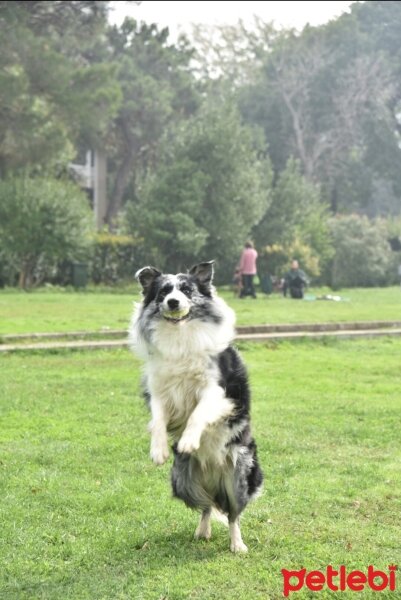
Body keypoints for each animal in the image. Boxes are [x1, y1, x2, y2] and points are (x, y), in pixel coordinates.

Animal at [130, 260, 264, 552]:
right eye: (163, 292)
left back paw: (237, 545)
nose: (172, 302)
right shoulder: (159, 389)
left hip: (239, 473)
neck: (180, 335)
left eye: (187, 290)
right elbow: (158, 420)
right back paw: (202, 531)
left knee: (233, 513)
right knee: (206, 505)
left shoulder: (217, 390)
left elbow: (198, 414)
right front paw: (158, 451)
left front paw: (189, 441)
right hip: (182, 480)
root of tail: (213, 477)